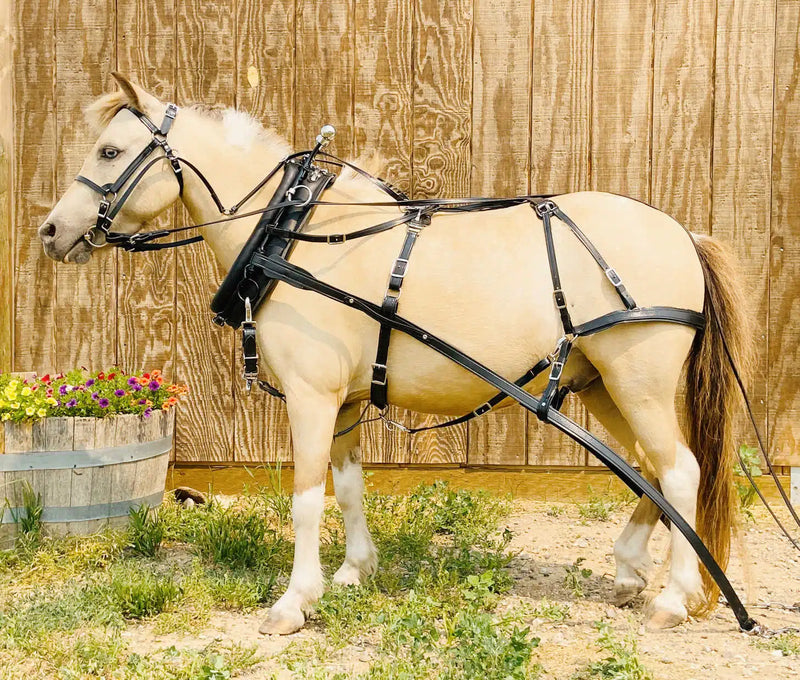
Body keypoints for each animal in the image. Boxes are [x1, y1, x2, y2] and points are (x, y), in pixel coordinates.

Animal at [38, 73, 752, 635]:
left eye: (110, 150)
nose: (50, 231)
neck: (296, 234)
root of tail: (684, 234)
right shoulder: (347, 399)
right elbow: (350, 484)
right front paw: (355, 571)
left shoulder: (311, 394)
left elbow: (306, 496)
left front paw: (293, 602)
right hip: (602, 384)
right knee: (651, 469)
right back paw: (630, 570)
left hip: (637, 380)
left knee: (679, 472)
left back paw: (673, 598)